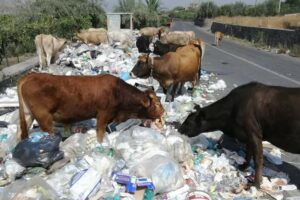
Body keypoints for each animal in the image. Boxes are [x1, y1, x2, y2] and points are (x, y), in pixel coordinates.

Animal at [17, 72, 164, 143]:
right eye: (156, 104)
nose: (163, 112)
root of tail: (30, 76)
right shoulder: (103, 115)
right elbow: (100, 134)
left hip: (29, 114)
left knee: (20, 133)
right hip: (44, 117)